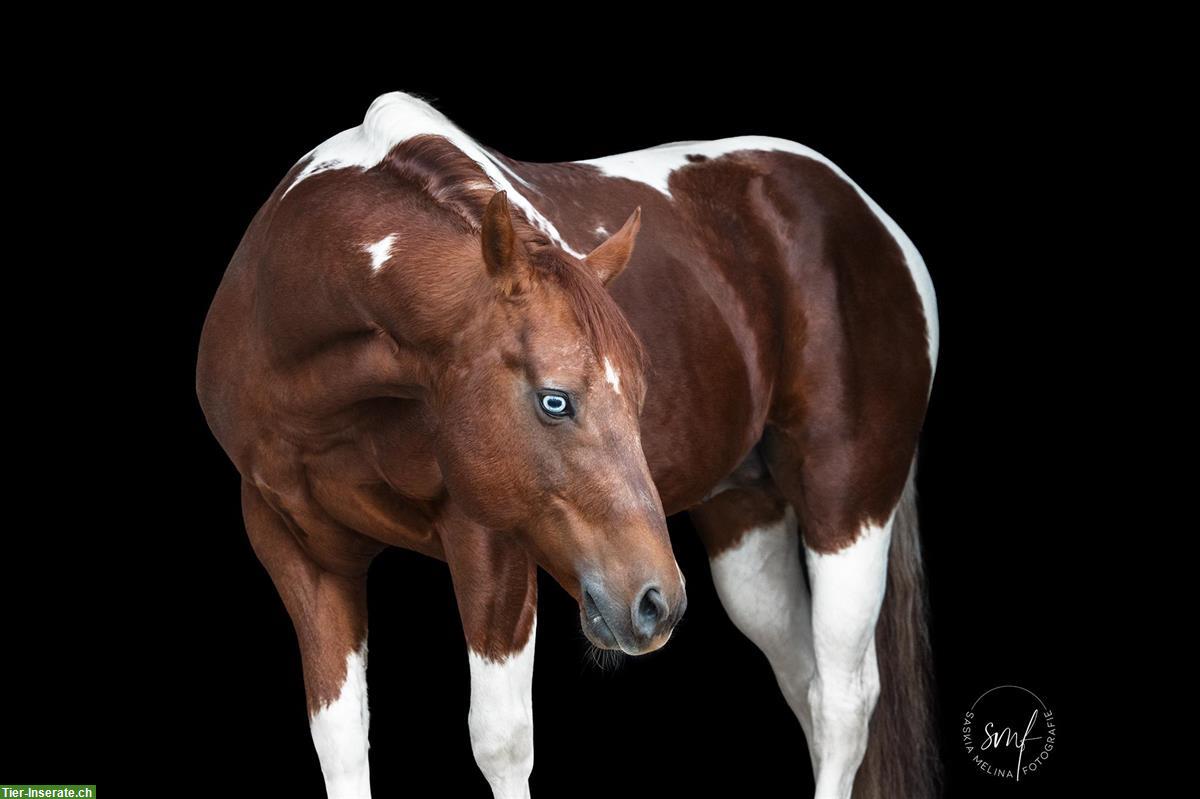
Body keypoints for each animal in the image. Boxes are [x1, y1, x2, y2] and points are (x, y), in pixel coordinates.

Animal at [196, 90, 940, 799]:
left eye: (640, 395)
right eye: (555, 400)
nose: (656, 602)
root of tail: (865, 213)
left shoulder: (493, 540)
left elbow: (500, 744)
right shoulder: (298, 551)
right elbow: (342, 743)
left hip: (847, 508)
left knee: (844, 702)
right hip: (745, 528)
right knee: (806, 687)